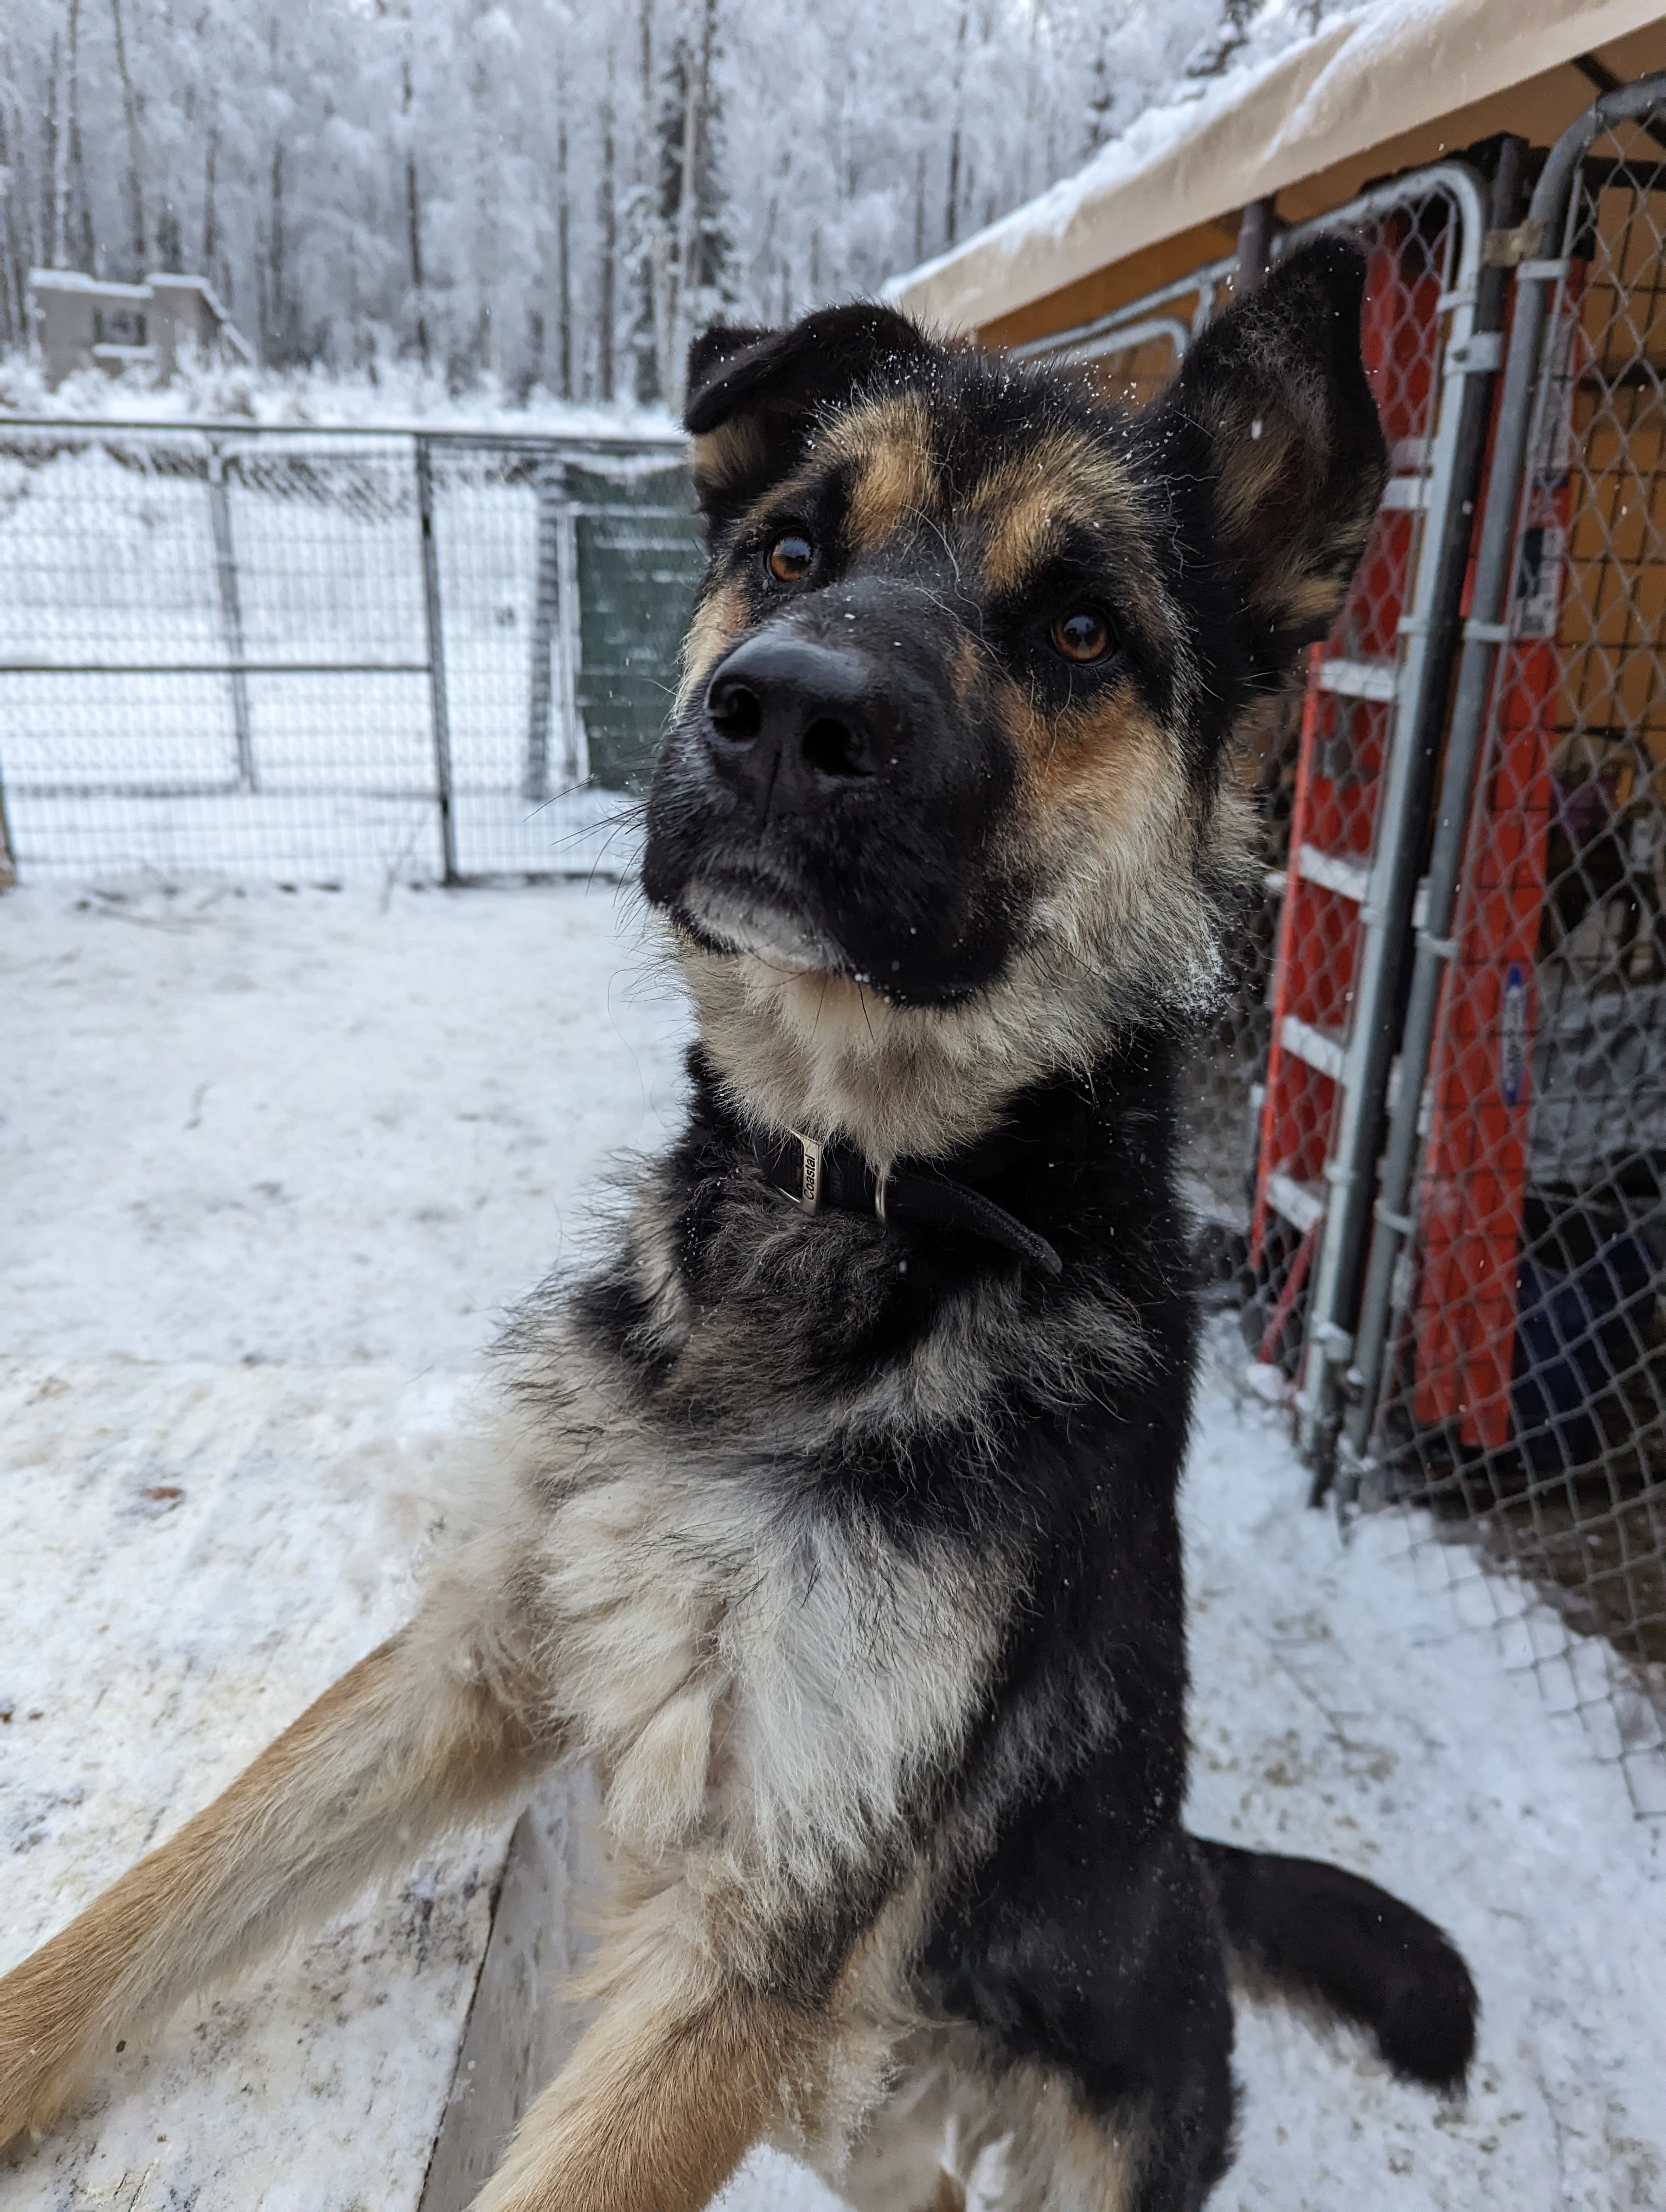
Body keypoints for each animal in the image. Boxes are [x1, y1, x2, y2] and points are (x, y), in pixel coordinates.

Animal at [0, 233, 1478, 2203]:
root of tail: (1183, 1868)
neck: (845, 1205)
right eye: (790, 553)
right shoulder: (478, 1654)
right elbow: (150, 1909)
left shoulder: (760, 1923)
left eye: (1083, 631)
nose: (786, 713)